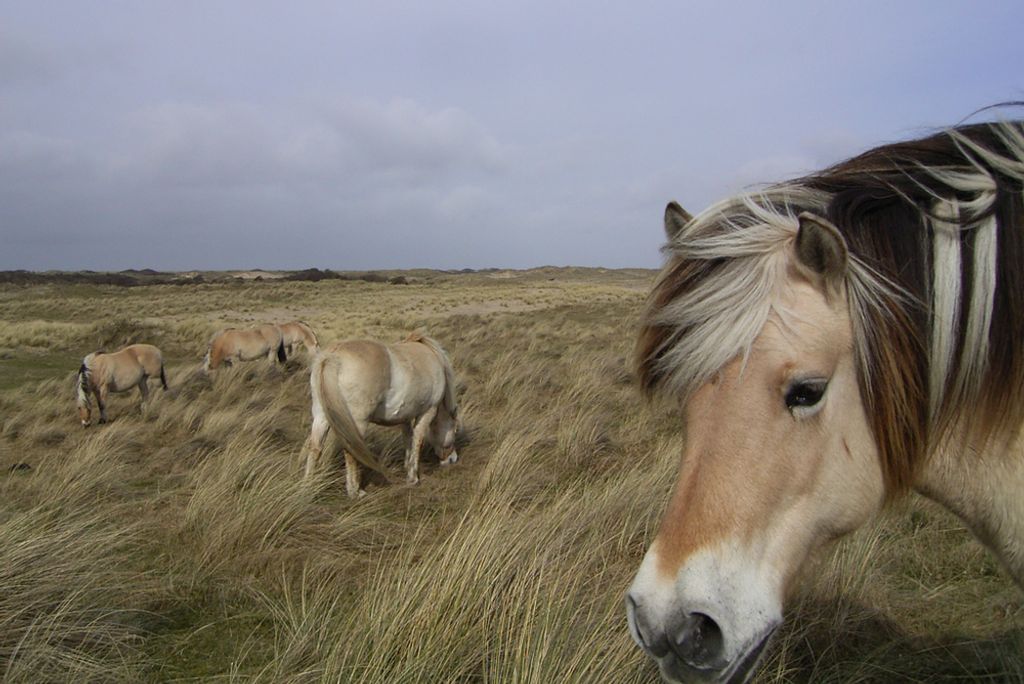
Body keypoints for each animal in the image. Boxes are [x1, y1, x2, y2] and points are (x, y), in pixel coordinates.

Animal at [302, 333, 460, 498]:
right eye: (455, 430)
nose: (452, 458)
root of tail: (332, 357)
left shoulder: (405, 416)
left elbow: (408, 438)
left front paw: (407, 465)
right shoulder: (428, 411)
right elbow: (418, 440)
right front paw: (413, 477)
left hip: (321, 417)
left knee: (315, 448)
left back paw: (308, 486)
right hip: (357, 422)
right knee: (351, 451)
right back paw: (355, 492)